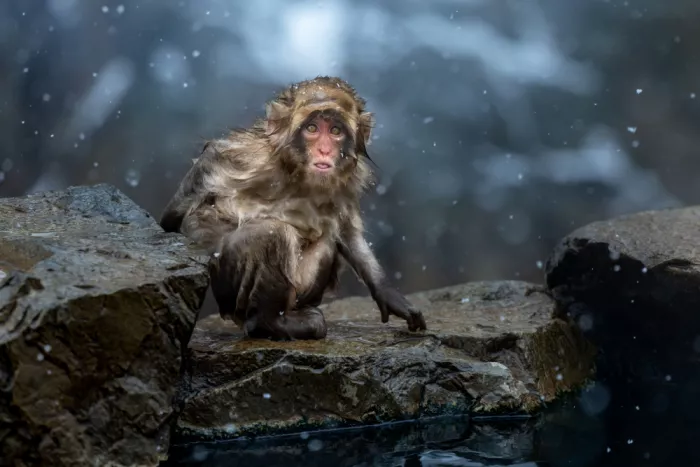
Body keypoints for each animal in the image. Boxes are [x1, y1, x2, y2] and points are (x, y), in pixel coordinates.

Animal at [159, 76, 427, 340]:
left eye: (336, 131)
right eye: (312, 129)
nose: (324, 150)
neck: (296, 174)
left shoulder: (347, 181)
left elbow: (346, 229)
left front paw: (387, 293)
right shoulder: (247, 157)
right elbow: (196, 186)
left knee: (326, 238)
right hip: (230, 293)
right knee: (270, 233)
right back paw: (269, 324)